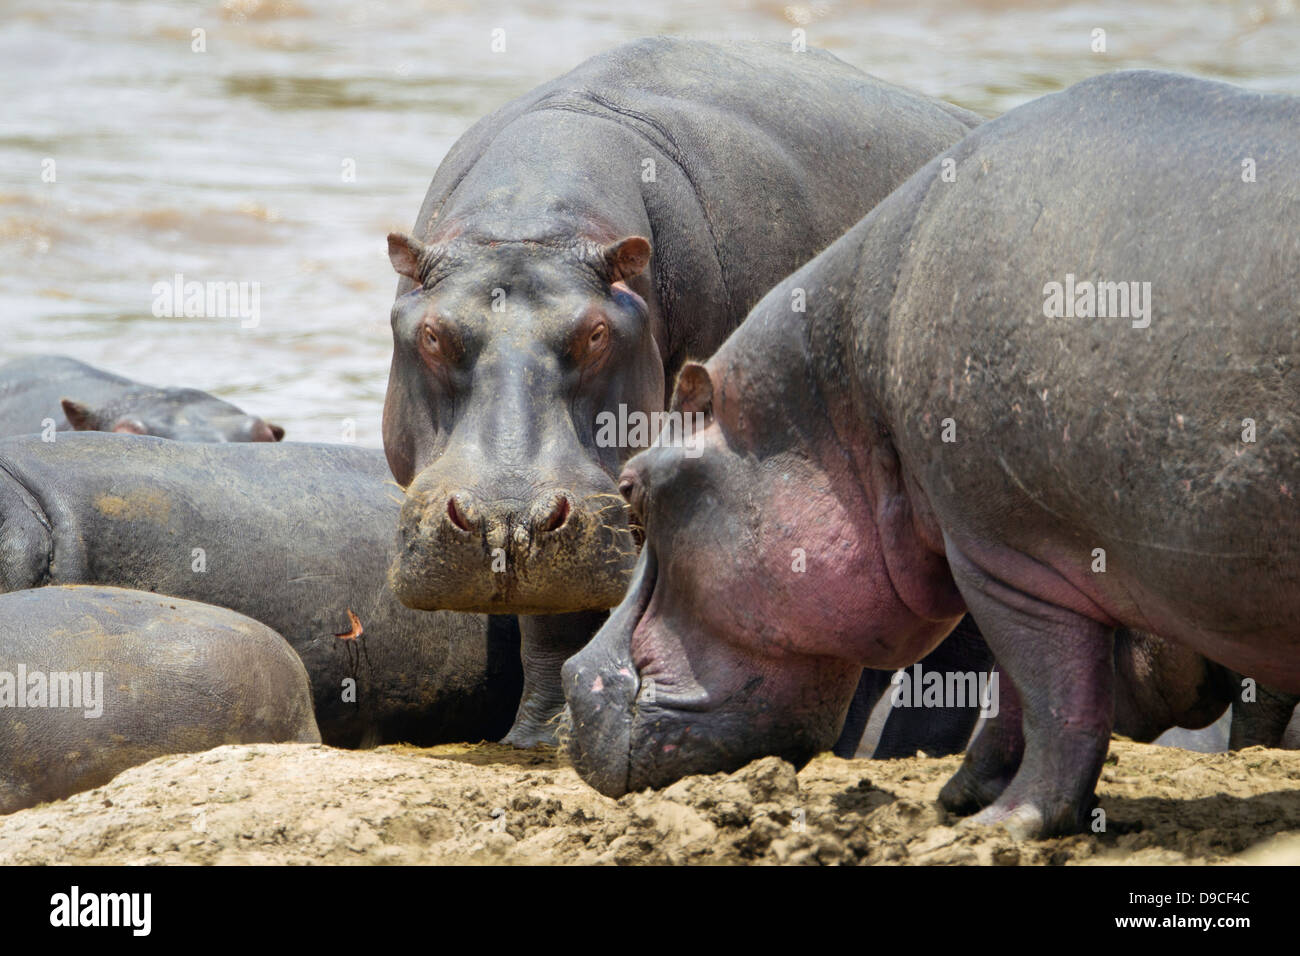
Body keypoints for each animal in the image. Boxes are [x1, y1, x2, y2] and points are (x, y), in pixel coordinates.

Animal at [379, 37, 977, 743]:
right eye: (433, 333)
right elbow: (555, 617)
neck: (531, 227)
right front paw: (539, 739)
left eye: (597, 334)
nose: (508, 520)